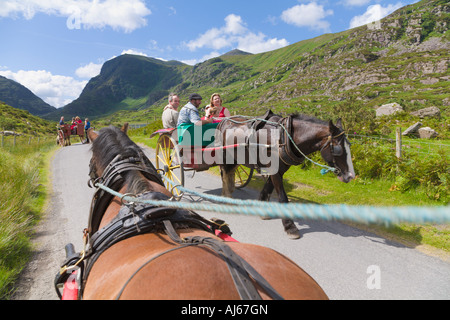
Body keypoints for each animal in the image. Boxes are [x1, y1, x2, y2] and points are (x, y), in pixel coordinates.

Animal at [214, 111, 356, 239]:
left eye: (349, 145)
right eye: (338, 149)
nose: (350, 176)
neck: (283, 137)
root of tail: (223, 121)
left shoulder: (278, 170)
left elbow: (268, 189)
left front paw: (262, 209)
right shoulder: (274, 170)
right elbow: (283, 198)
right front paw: (290, 227)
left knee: (229, 174)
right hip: (225, 156)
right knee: (225, 175)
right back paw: (226, 198)